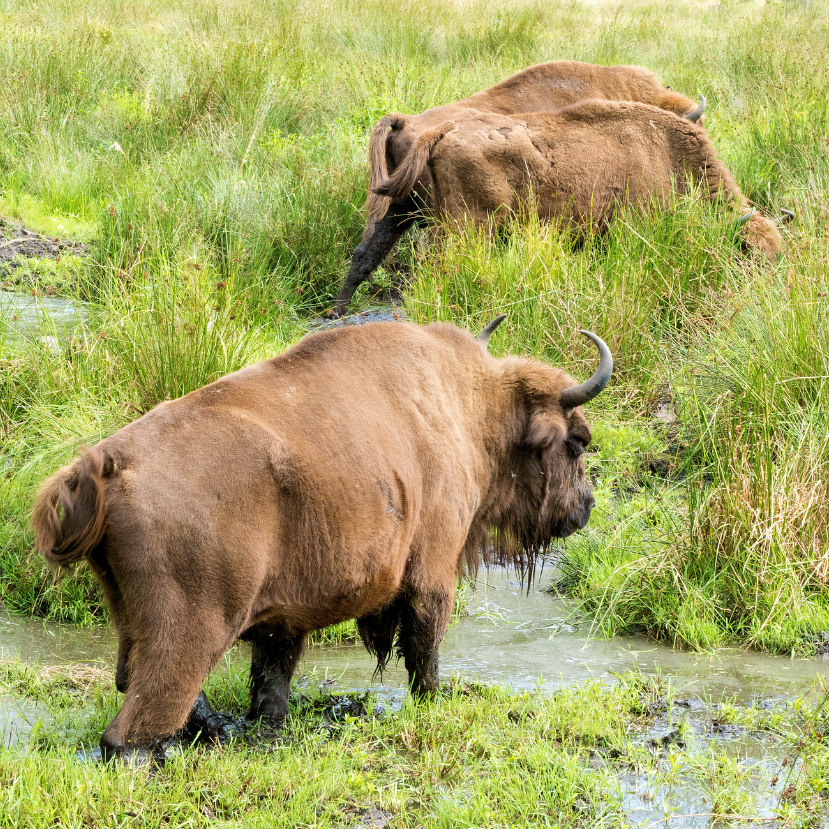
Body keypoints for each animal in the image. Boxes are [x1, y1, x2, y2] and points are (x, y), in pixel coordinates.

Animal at [32, 316, 612, 764]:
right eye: (576, 441)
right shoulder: (432, 572)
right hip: (189, 630)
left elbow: (272, 683)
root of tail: (109, 464)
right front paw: (432, 703)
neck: (470, 410)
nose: (586, 505)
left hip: (130, 617)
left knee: (136, 682)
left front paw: (268, 730)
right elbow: (425, 650)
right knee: (135, 726)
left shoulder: (281, 622)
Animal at [328, 98, 776, 316]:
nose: (763, 294)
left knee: (367, 251)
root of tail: (437, 131)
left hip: (398, 209)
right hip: (468, 227)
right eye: (747, 254)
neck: (667, 154)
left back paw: (337, 310)